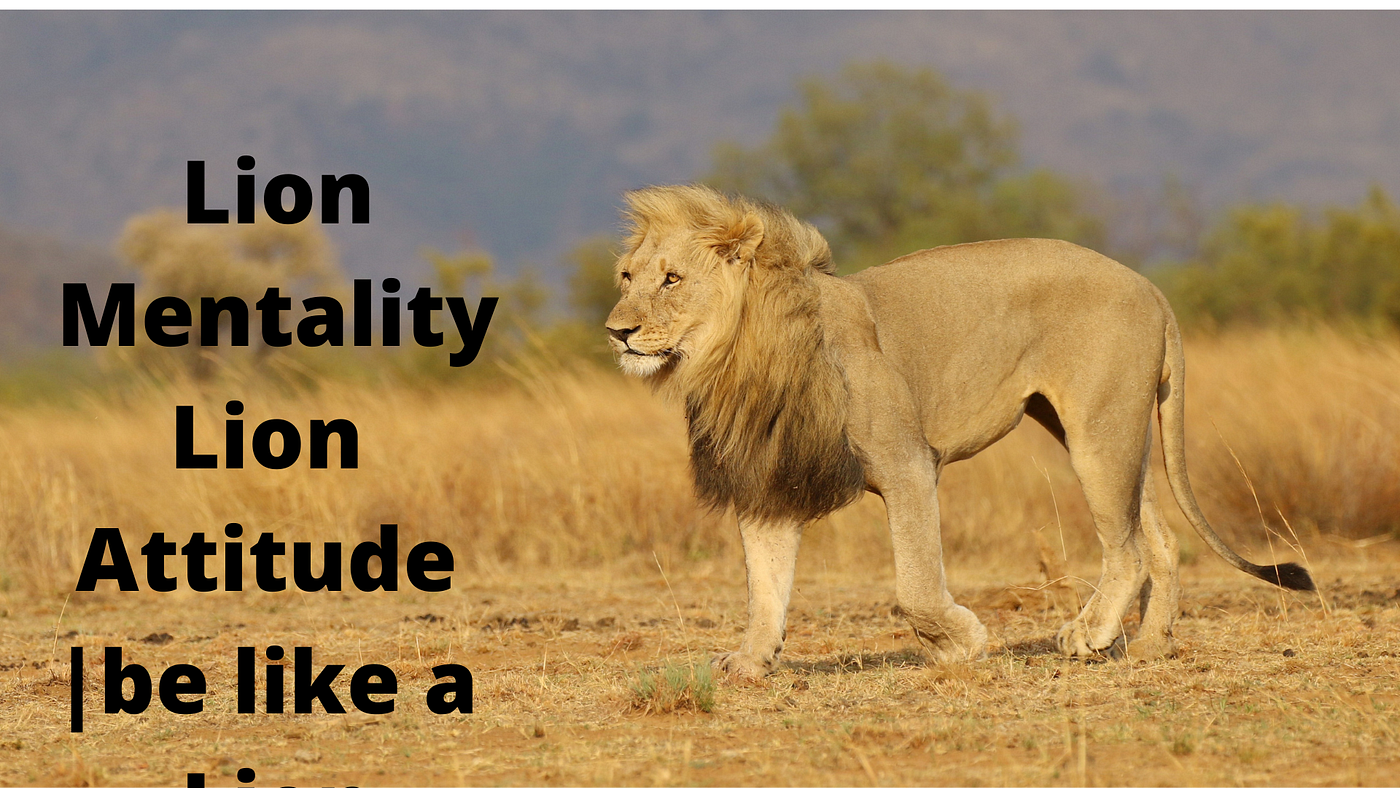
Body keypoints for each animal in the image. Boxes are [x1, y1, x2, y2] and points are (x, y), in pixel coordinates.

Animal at [605, 184, 1314, 679]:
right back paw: (1149, 645)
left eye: (672, 279)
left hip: (1098, 429)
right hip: (1106, 431)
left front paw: (960, 643)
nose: (617, 331)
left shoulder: (907, 464)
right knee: (1159, 538)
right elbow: (765, 586)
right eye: (627, 277)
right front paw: (750, 661)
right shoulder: (769, 478)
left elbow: (915, 586)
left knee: (1130, 547)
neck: (737, 362)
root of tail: (1151, 287)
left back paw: (1089, 634)